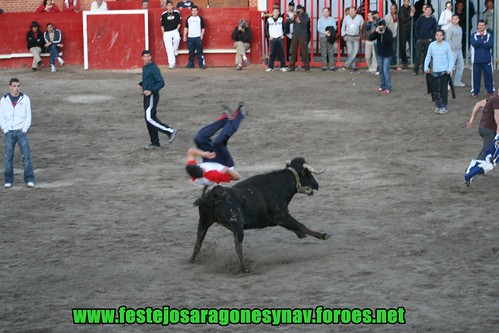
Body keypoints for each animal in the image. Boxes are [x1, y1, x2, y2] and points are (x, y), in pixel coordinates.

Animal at [191, 157, 332, 272]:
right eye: (308, 174)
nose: (317, 185)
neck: (280, 184)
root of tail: (215, 193)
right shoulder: (281, 215)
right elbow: (300, 225)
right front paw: (323, 235)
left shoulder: (279, 219)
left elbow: (295, 226)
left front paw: (301, 235)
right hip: (237, 225)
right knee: (237, 245)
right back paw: (244, 268)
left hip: (203, 221)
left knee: (198, 242)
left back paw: (192, 261)